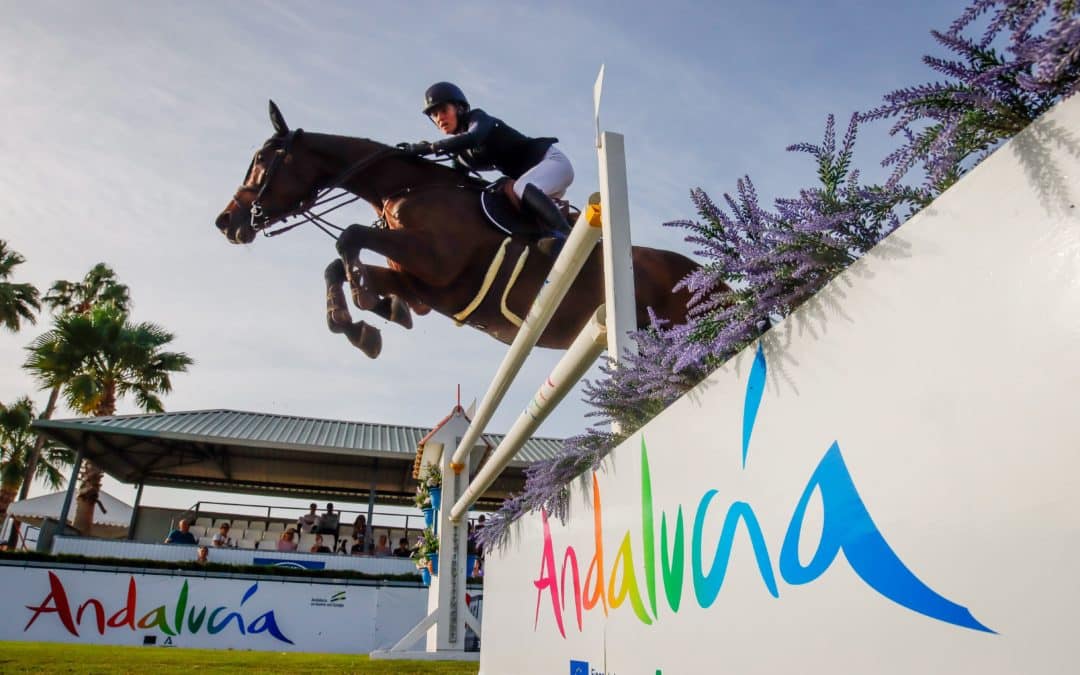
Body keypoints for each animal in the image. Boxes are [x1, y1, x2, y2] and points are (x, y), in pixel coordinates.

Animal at [217, 101, 699, 358]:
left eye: (262, 160)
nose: (226, 222)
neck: (403, 189)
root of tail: (697, 270)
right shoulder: (420, 283)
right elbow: (336, 267)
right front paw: (366, 325)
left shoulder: (436, 261)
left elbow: (348, 236)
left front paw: (368, 301)